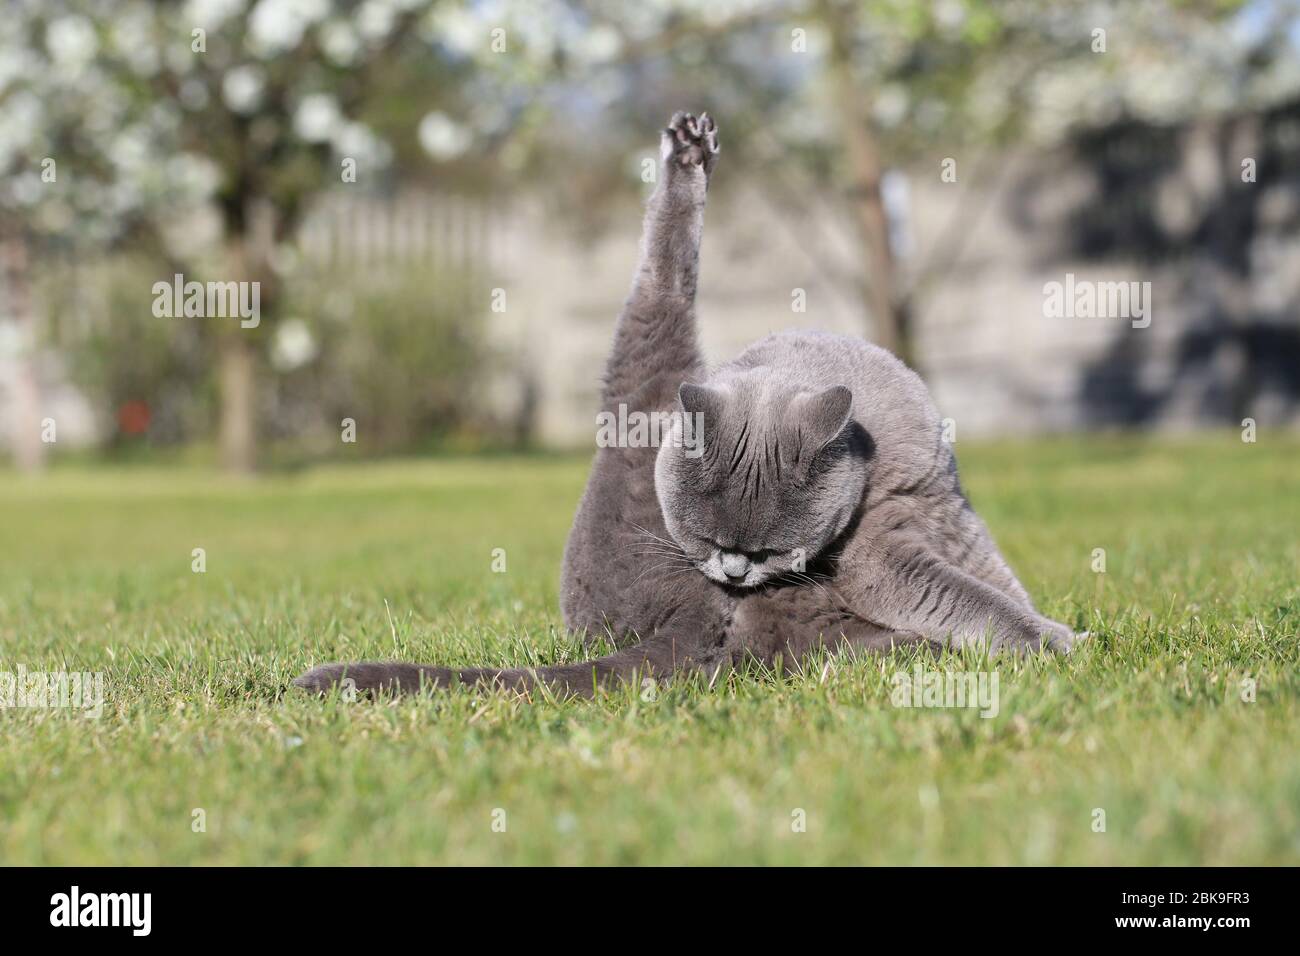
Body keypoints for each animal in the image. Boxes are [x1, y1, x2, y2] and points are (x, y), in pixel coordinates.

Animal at [299, 110, 1081, 697]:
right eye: (708, 540)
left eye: (767, 549)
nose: (732, 572)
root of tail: (681, 613)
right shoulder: (875, 554)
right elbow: (960, 595)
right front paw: (1054, 642)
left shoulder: (950, 508)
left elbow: (993, 575)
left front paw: (1044, 622)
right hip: (656, 380)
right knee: (660, 286)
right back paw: (687, 156)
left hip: (637, 390)